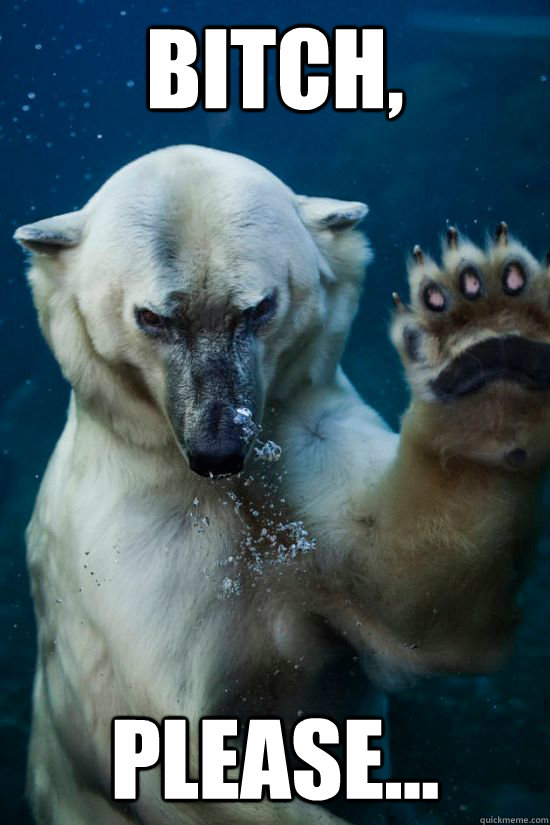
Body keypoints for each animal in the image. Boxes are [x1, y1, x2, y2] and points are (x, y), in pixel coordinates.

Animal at [14, 145, 550, 825]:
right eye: (153, 317)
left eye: (258, 309)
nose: (219, 450)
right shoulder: (127, 551)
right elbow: (167, 760)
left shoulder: (303, 438)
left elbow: (416, 600)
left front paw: (486, 336)